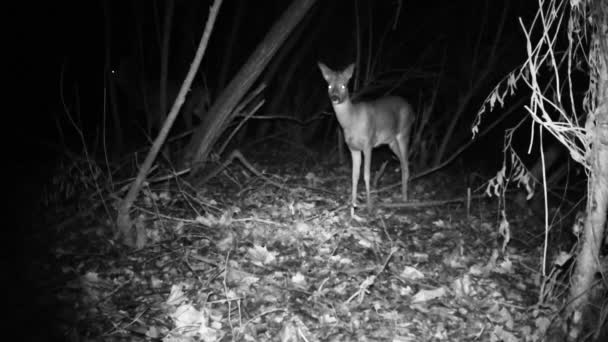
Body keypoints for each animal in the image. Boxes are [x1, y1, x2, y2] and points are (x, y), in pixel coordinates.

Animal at [318, 61, 414, 211]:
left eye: (344, 85)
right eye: (329, 85)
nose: (335, 97)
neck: (352, 120)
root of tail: (412, 110)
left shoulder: (368, 144)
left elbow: (366, 175)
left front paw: (369, 206)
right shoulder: (353, 148)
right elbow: (354, 176)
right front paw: (353, 204)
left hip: (404, 132)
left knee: (405, 163)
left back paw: (405, 199)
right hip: (391, 141)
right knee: (403, 161)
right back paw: (404, 196)